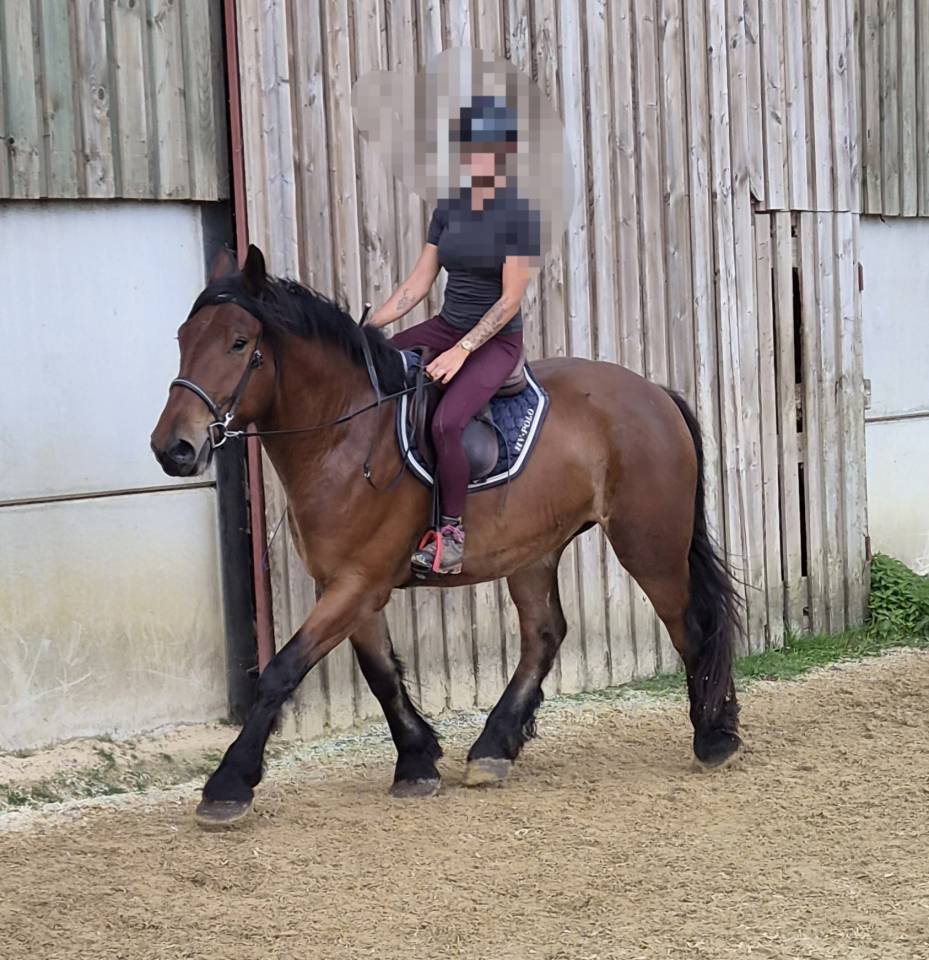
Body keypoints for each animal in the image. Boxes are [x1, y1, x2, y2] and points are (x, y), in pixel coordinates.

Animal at [151, 245, 742, 827]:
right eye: (182, 338)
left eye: (239, 342)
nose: (172, 449)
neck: (344, 437)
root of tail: (653, 393)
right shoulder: (346, 584)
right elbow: (381, 673)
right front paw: (416, 762)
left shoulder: (358, 583)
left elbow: (282, 670)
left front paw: (228, 785)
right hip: (535, 550)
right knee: (544, 635)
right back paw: (493, 748)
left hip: (649, 543)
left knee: (689, 623)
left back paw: (714, 735)